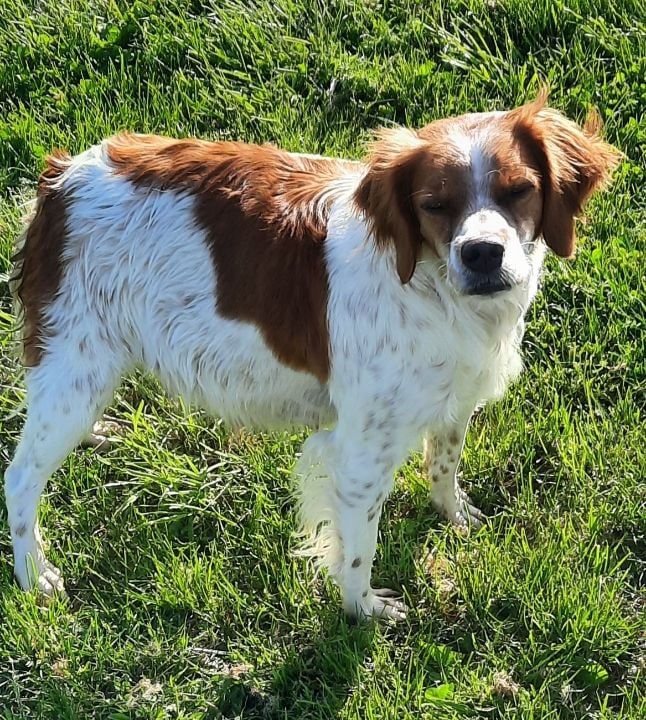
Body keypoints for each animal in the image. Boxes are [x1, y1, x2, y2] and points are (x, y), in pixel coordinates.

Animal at [6, 94, 624, 620]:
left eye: (518, 190)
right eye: (434, 205)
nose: (481, 254)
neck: (432, 287)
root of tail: (61, 177)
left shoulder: (452, 400)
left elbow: (444, 463)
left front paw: (453, 516)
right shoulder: (359, 449)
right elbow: (358, 543)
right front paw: (363, 610)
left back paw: (96, 436)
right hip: (74, 365)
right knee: (20, 476)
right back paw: (34, 575)